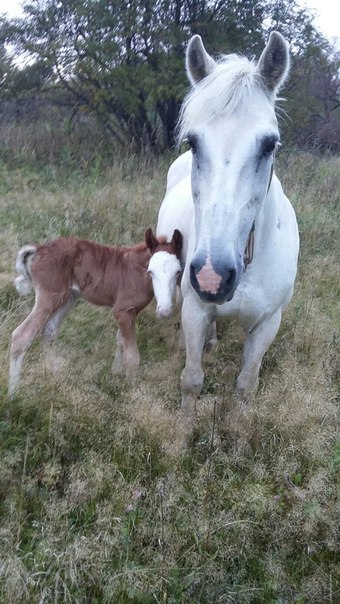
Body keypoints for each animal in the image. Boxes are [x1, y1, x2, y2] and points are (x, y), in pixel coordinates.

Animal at [157, 31, 298, 410]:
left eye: (269, 145)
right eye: (192, 142)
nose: (212, 276)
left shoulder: (268, 324)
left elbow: (247, 384)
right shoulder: (194, 311)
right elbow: (191, 381)